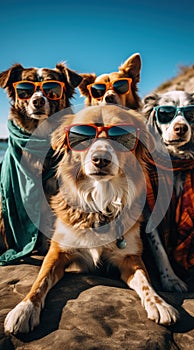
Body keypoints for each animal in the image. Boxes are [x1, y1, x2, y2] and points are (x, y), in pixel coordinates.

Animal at [4, 105, 180, 334]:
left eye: (122, 134)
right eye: (83, 134)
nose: (101, 159)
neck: (100, 203)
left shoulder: (130, 258)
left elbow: (145, 280)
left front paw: (159, 303)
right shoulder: (58, 252)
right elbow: (40, 280)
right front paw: (24, 309)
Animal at [141, 91, 194, 296]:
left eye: (190, 113)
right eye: (165, 113)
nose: (181, 128)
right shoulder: (151, 209)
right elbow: (159, 249)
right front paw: (171, 279)